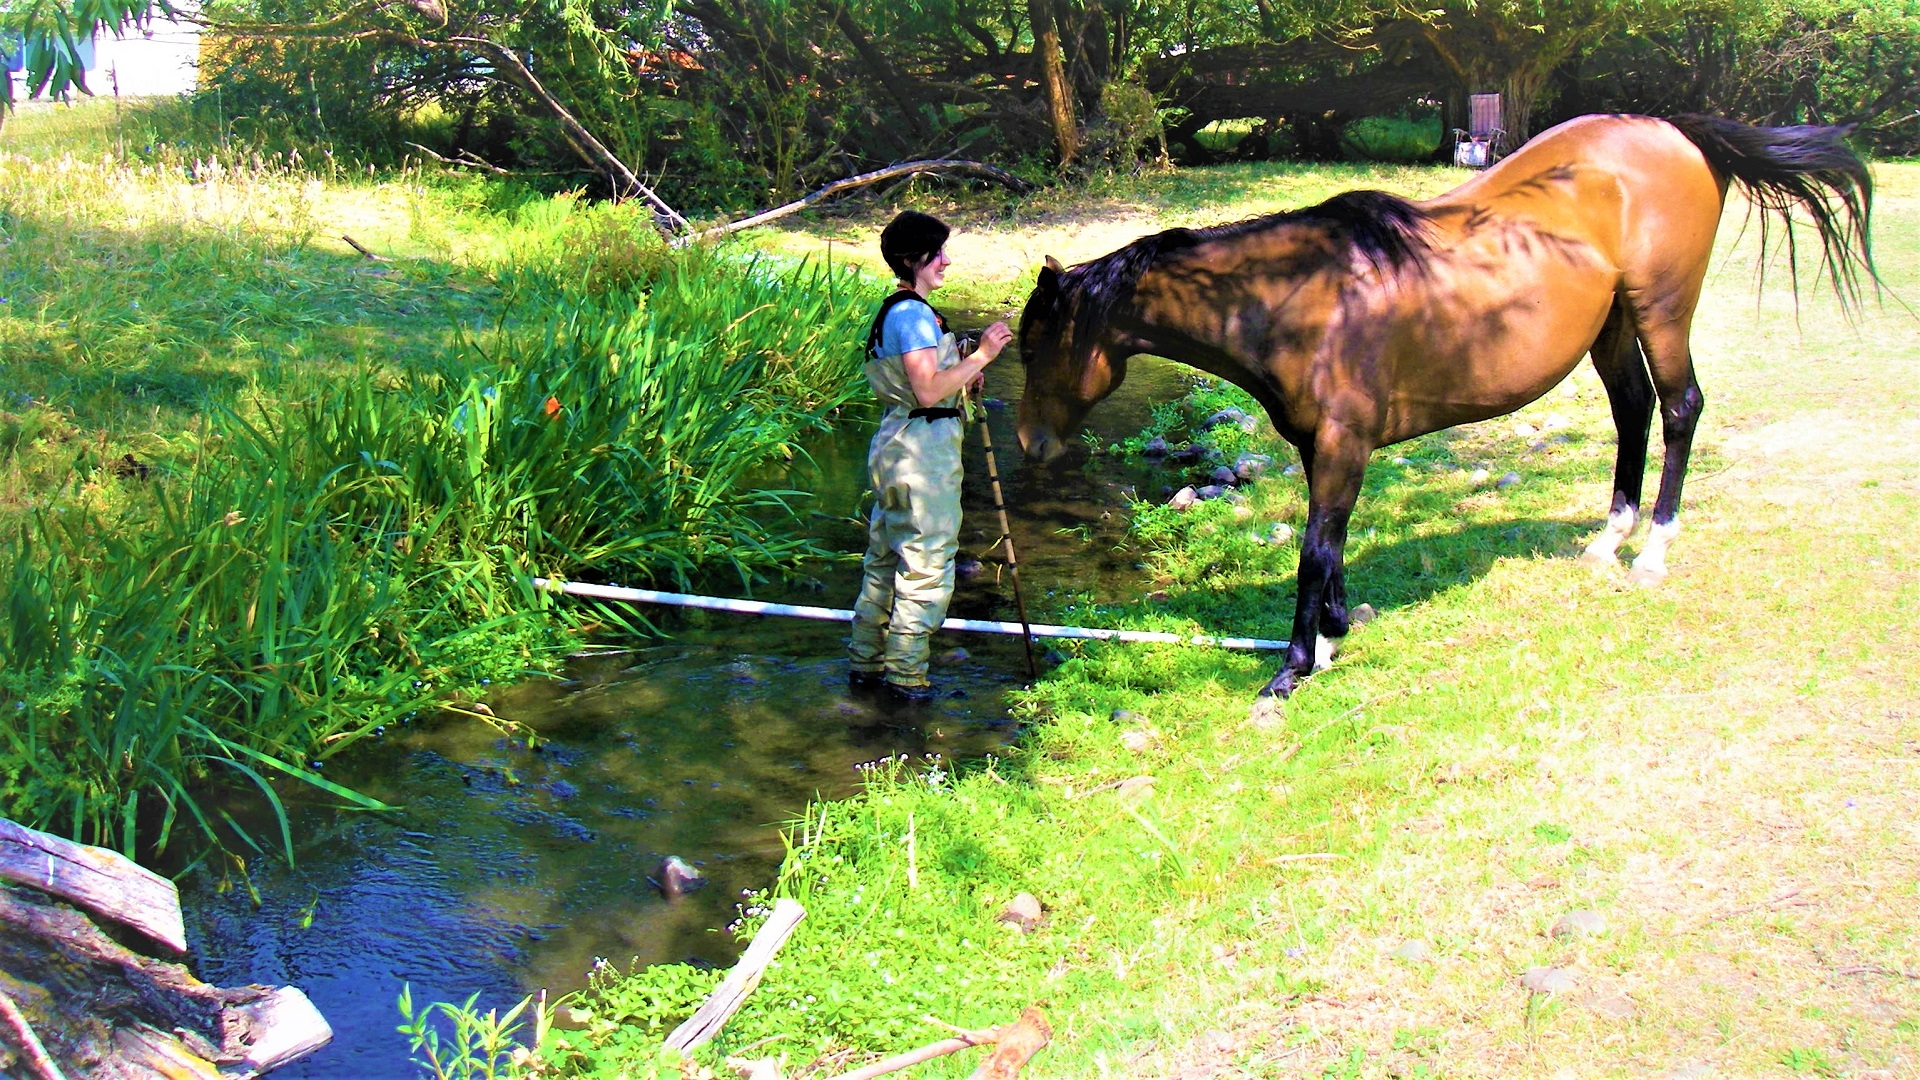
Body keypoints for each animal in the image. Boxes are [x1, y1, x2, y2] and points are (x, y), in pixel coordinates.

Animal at [1021, 117, 1873, 703]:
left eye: (1036, 347)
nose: (1028, 442)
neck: (1303, 297)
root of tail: (1674, 131)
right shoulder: (1323, 447)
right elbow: (1331, 548)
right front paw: (1329, 641)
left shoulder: (1343, 443)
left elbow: (1313, 552)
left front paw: (1291, 673)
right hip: (1612, 326)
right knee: (1633, 412)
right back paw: (1609, 539)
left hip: (1661, 310)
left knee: (1679, 410)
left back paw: (1654, 550)